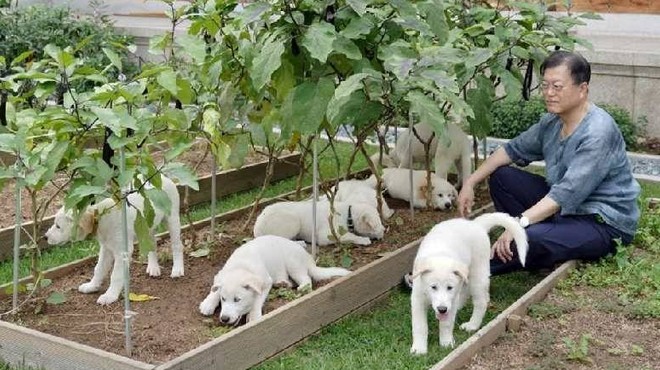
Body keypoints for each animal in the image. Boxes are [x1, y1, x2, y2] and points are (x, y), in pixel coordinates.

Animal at [44, 175, 184, 304]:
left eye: (58, 226)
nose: (45, 237)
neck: (100, 216)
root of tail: (162, 176)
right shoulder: (106, 248)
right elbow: (98, 269)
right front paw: (92, 286)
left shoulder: (121, 251)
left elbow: (115, 275)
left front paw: (110, 296)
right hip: (147, 226)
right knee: (152, 244)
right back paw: (153, 267)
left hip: (172, 219)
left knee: (177, 245)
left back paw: (177, 269)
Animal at [197, 236, 348, 326]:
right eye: (223, 299)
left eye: (237, 300)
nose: (224, 319)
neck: (241, 266)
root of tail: (308, 258)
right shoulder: (221, 275)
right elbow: (215, 289)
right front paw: (208, 303)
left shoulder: (265, 281)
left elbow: (257, 300)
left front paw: (254, 316)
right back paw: (283, 283)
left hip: (293, 263)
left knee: (306, 279)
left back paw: (301, 287)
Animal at [253, 199, 386, 246]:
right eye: (378, 223)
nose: (384, 231)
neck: (348, 213)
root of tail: (257, 228)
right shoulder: (327, 235)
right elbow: (348, 235)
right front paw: (363, 240)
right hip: (293, 221)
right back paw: (300, 243)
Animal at [410, 212, 528, 354]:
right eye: (433, 287)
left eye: (449, 287)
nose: (442, 309)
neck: (440, 254)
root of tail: (476, 224)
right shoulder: (417, 299)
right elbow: (419, 326)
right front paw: (419, 349)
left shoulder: (451, 297)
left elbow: (446, 324)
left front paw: (446, 343)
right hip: (466, 275)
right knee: (466, 291)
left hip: (478, 274)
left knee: (481, 301)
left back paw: (472, 325)